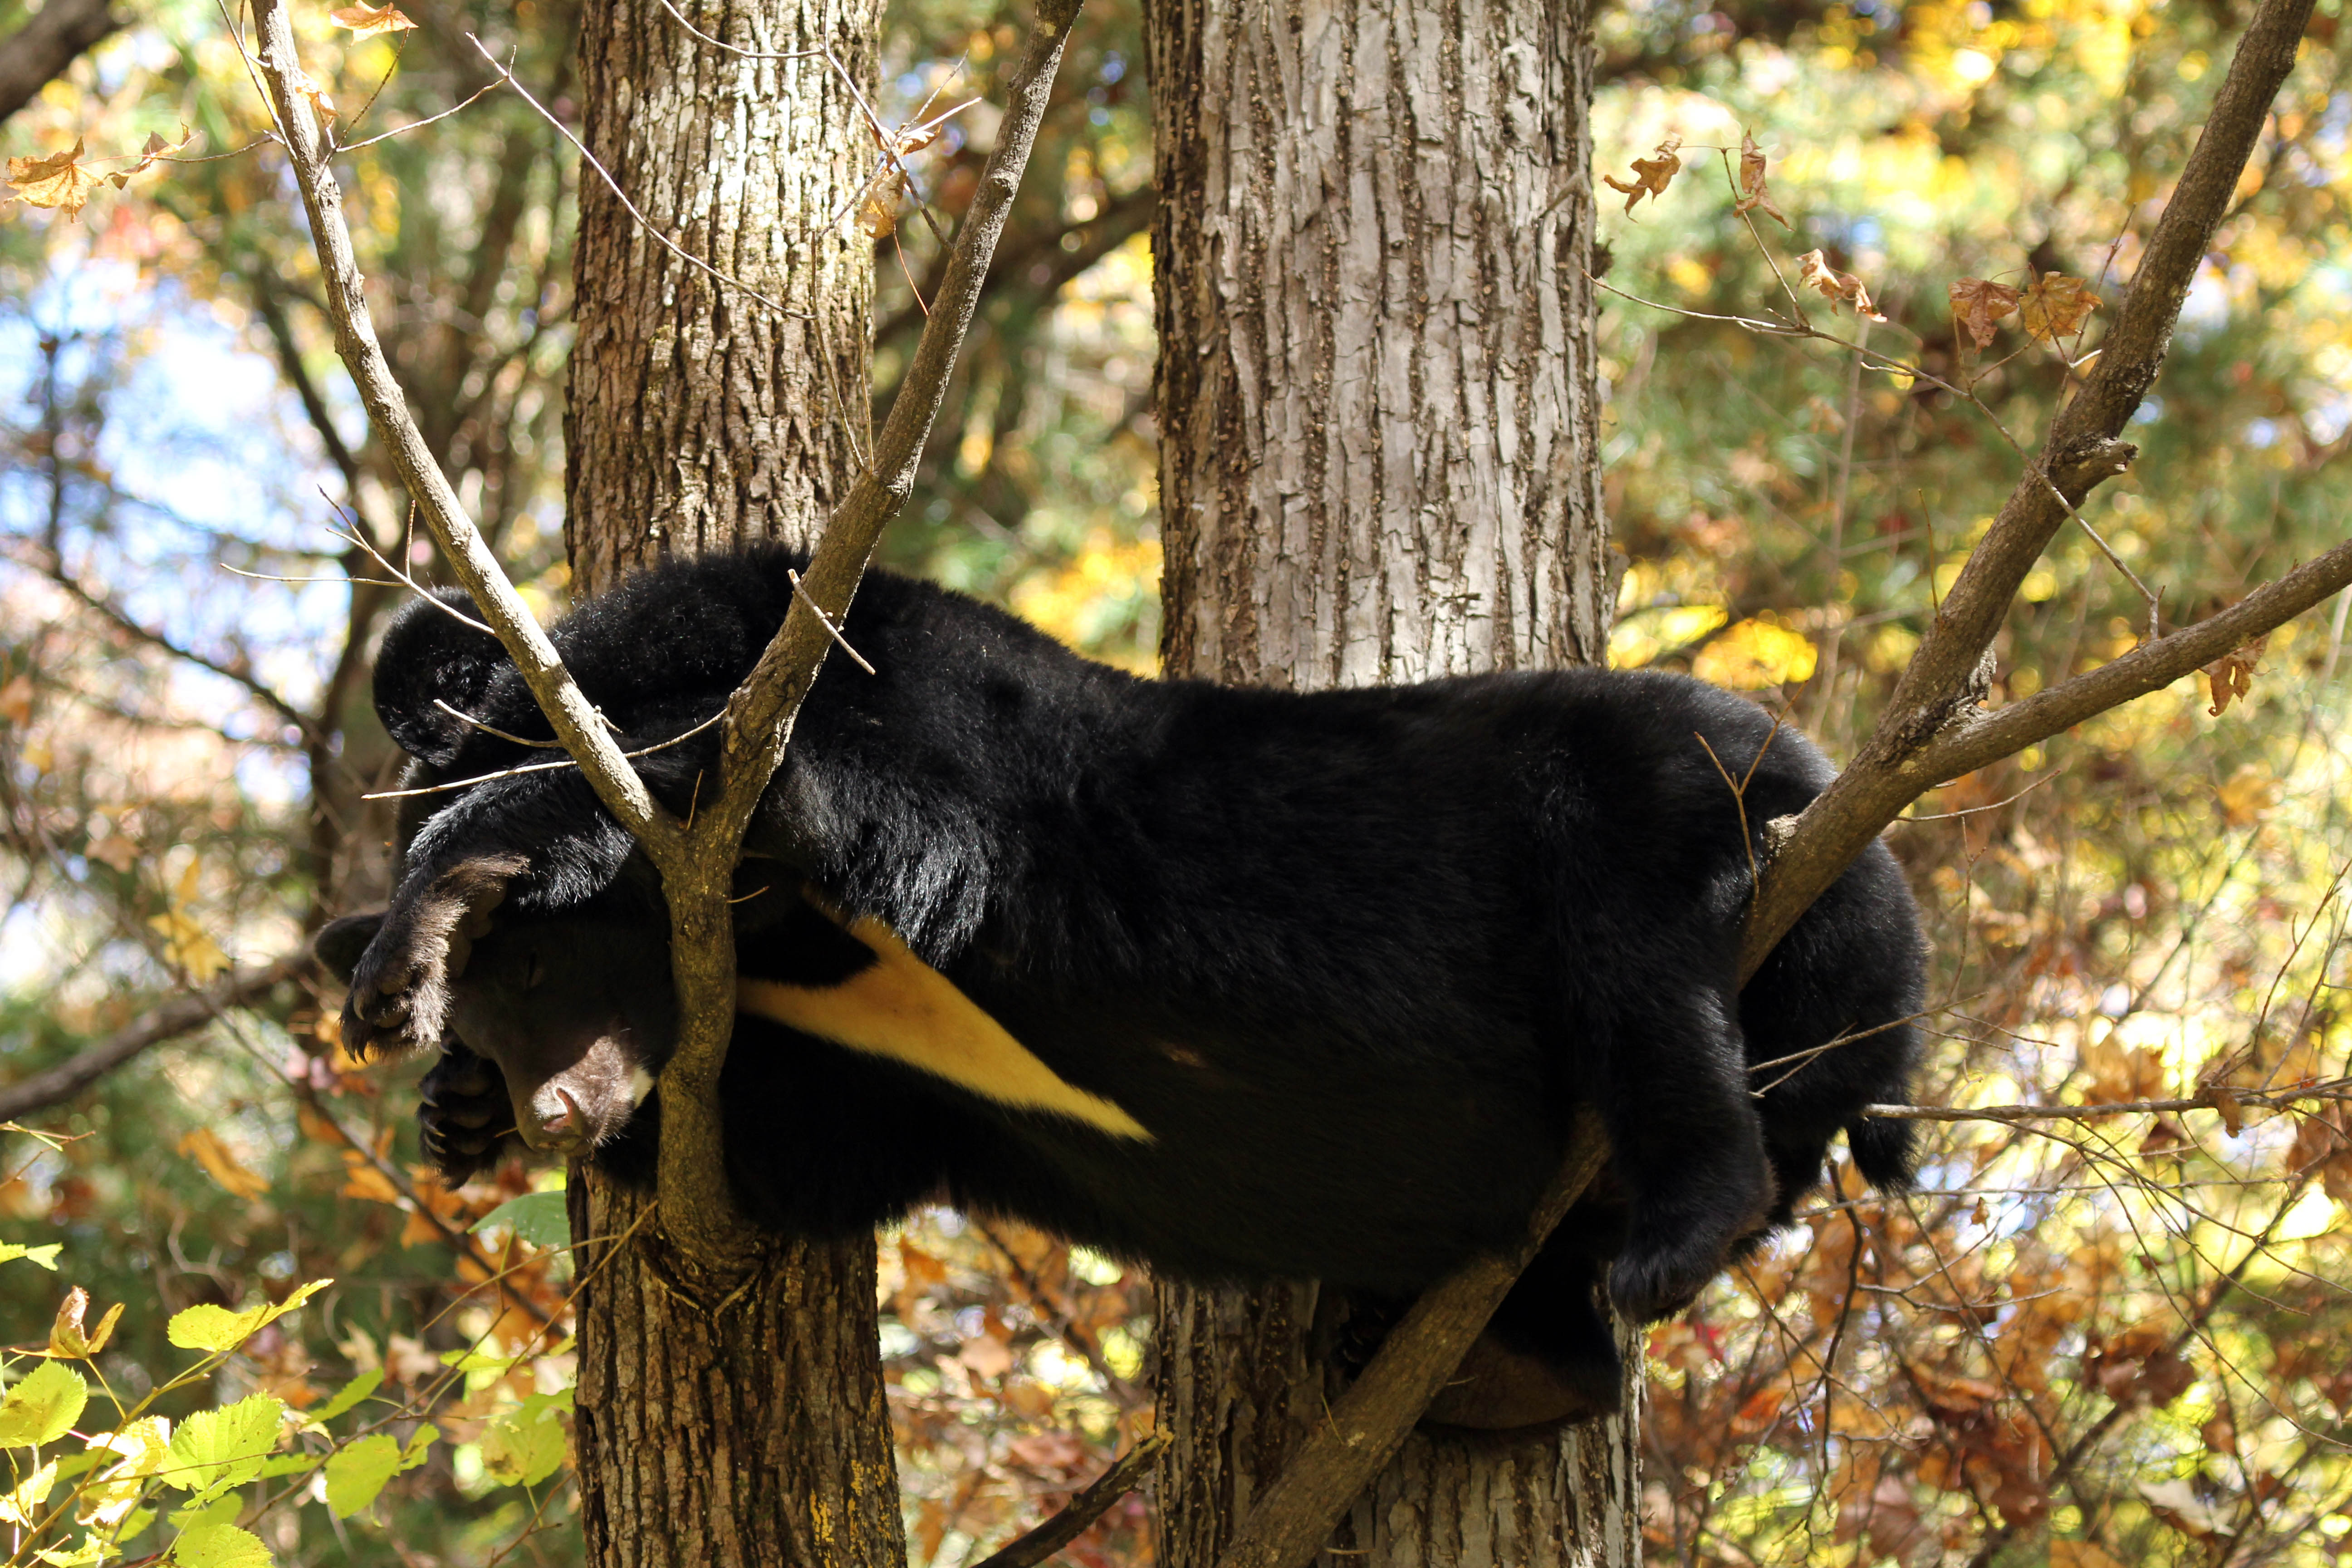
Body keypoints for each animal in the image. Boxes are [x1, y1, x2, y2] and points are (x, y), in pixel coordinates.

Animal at [317, 552, 1928, 1420]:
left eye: (534, 965)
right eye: (499, 1023)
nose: (560, 1112)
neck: (791, 963)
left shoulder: (905, 710)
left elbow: (739, 773)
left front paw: (422, 929)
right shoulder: (859, 1075)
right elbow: (796, 1156)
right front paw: (453, 1114)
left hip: (1662, 811)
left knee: (1649, 985)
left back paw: (1673, 1234)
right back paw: (1486, 1369)